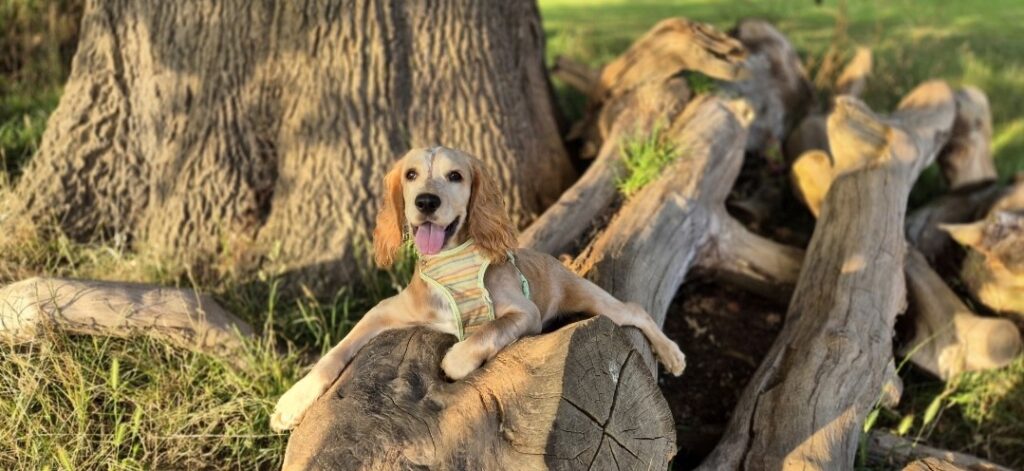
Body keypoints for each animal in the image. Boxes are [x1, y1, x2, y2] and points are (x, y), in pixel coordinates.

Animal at [272, 146, 688, 430]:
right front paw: (293, 400)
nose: (426, 201)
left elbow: (483, 334)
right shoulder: (385, 310)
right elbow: (335, 352)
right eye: (410, 174)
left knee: (634, 310)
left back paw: (672, 354)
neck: (451, 265)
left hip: (587, 295)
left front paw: (457, 358)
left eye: (455, 176)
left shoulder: (524, 312)